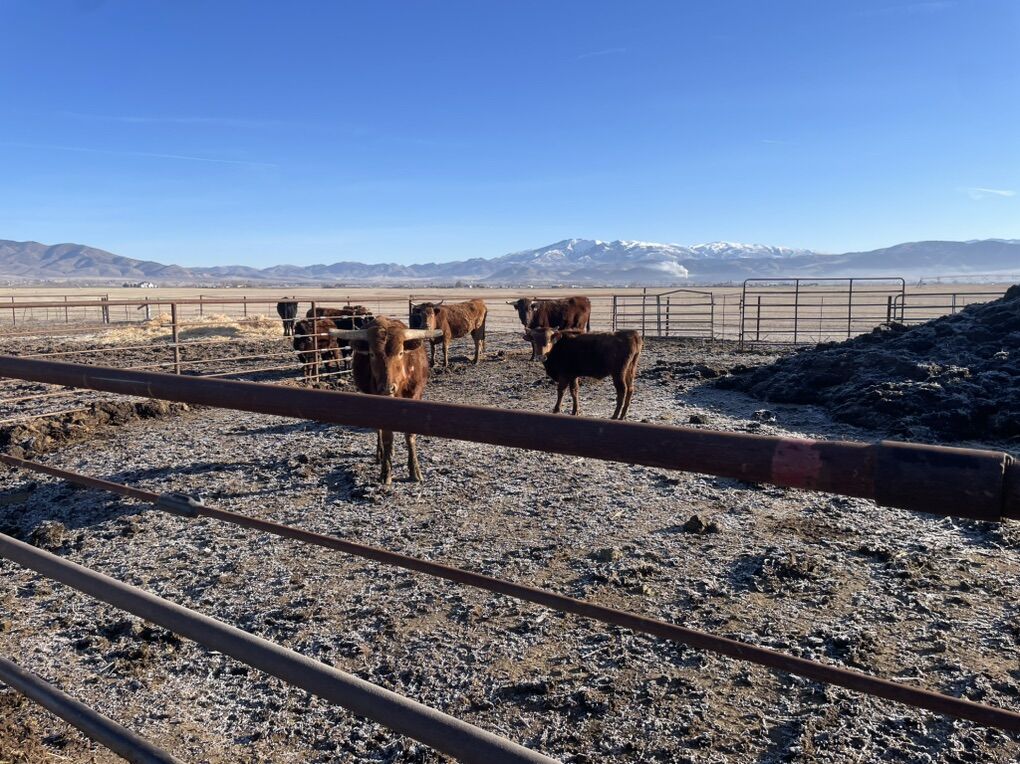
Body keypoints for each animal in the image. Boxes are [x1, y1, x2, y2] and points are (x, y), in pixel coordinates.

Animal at [330, 317, 443, 484]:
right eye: (371, 354)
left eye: (401, 352)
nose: (388, 387)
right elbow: (387, 436)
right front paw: (386, 472)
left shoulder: (415, 395)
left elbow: (410, 435)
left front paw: (414, 470)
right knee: (379, 431)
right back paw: (380, 454)